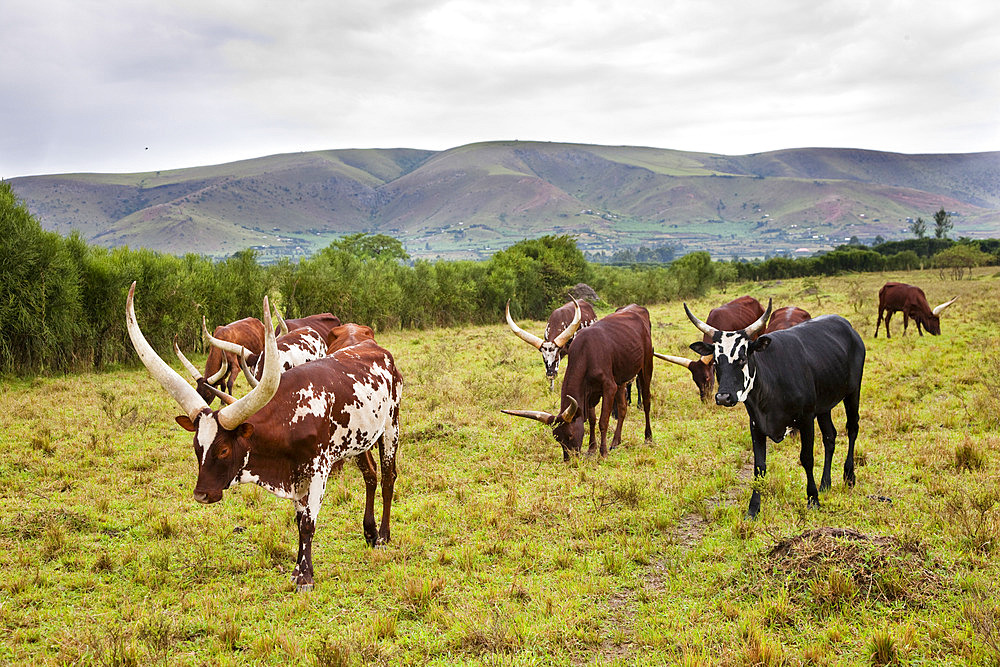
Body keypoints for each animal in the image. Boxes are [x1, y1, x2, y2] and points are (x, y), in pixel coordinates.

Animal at [127, 284, 400, 592]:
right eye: (197, 447)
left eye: (223, 450)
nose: (201, 495)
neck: (292, 415)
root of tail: (375, 348)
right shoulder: (295, 476)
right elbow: (299, 520)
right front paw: (297, 571)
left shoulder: (318, 470)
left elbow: (308, 523)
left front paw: (306, 578)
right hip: (360, 439)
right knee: (371, 475)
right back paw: (370, 532)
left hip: (391, 426)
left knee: (388, 477)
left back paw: (383, 536)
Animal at [500, 304, 656, 460]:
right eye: (557, 438)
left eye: (570, 435)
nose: (569, 460)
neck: (586, 353)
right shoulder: (590, 393)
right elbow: (592, 420)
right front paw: (592, 449)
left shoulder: (609, 387)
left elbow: (603, 421)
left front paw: (603, 452)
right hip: (621, 378)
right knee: (623, 407)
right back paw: (616, 442)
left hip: (646, 367)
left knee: (647, 401)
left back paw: (648, 437)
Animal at [684, 300, 864, 520]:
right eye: (716, 362)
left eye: (742, 358)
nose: (723, 397)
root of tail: (847, 326)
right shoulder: (756, 424)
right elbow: (759, 466)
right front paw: (753, 508)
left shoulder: (806, 419)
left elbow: (807, 458)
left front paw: (812, 499)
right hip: (824, 405)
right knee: (830, 437)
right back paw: (825, 484)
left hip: (853, 391)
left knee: (852, 428)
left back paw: (849, 476)